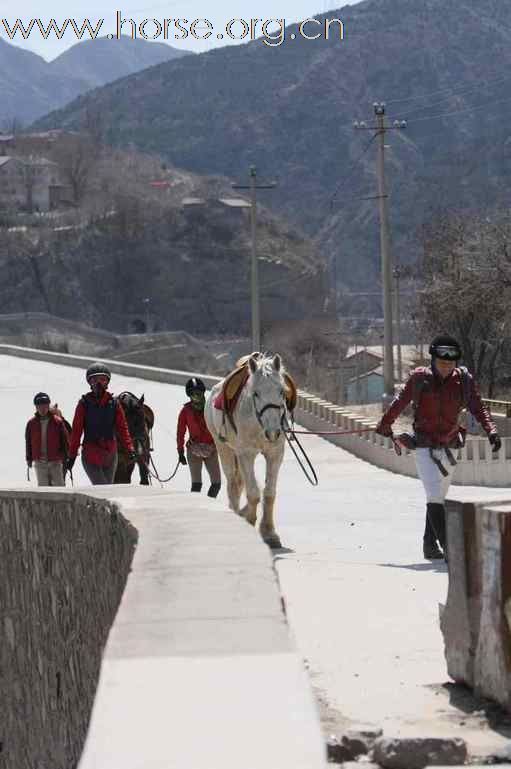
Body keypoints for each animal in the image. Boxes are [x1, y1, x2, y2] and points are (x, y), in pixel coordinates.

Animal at [206, 352, 290, 548]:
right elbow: (253, 493)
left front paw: (270, 533)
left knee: (240, 481)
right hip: (224, 448)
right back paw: (237, 513)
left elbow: (269, 494)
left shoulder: (275, 454)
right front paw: (250, 520)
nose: (273, 432)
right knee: (232, 482)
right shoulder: (246, 453)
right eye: (256, 393)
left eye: (281, 391)